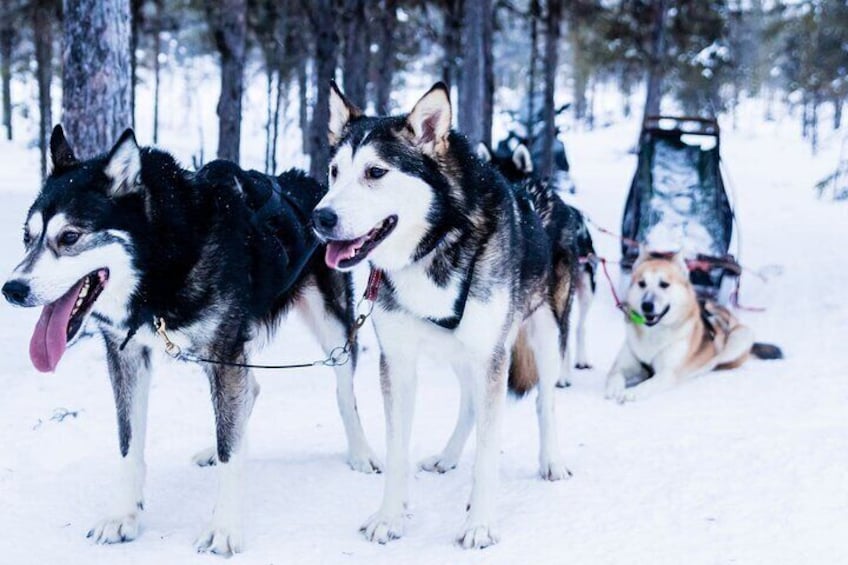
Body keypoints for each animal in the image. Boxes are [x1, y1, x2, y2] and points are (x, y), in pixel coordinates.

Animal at [0, 126, 378, 556]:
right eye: (27, 237)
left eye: (69, 237)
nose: (12, 289)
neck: (165, 263)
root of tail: (311, 185)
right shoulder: (128, 354)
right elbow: (129, 442)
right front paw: (123, 515)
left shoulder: (224, 353)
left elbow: (233, 451)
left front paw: (224, 528)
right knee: (249, 393)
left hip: (331, 328)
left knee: (343, 392)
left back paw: (360, 452)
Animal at [314, 81, 572, 548]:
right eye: (334, 172)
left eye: (375, 172)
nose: (320, 217)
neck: (435, 245)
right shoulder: (398, 362)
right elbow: (397, 448)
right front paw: (390, 516)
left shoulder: (492, 357)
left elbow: (488, 454)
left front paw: (480, 524)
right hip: (460, 354)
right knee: (469, 403)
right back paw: (449, 457)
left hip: (543, 334)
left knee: (545, 401)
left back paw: (551, 462)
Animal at [604, 251, 780, 400]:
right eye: (642, 283)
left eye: (664, 284)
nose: (647, 305)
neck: (652, 334)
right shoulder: (622, 366)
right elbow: (614, 375)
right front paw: (614, 389)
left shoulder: (667, 373)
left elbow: (648, 384)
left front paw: (632, 392)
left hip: (741, 336)